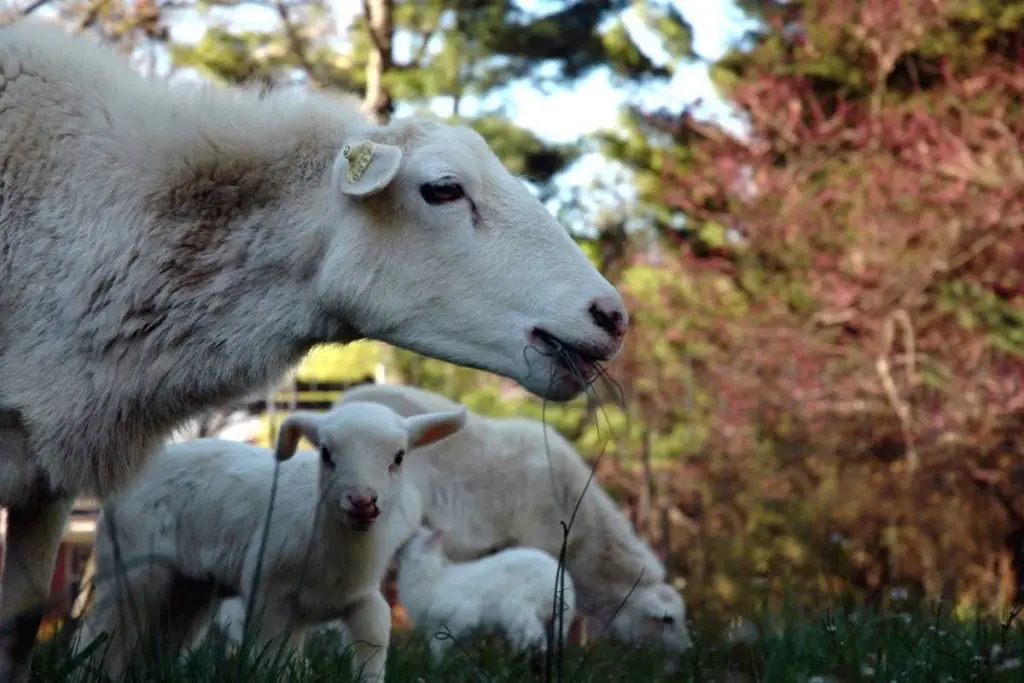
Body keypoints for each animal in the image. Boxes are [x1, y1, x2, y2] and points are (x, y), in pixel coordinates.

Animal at [74, 401, 466, 683]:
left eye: (399, 457)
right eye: (326, 454)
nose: (362, 501)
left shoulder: (361, 600)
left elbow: (372, 644)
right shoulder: (270, 595)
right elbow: (275, 660)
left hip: (190, 588)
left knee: (164, 641)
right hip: (132, 565)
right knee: (101, 635)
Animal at [391, 524, 577, 663]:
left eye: (410, 537)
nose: (396, 549)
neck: (434, 575)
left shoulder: (458, 618)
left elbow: (439, 648)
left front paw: (436, 668)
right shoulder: (434, 629)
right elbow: (435, 649)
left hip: (519, 611)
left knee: (536, 641)